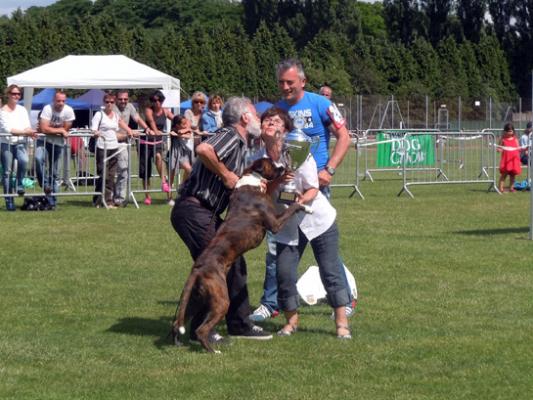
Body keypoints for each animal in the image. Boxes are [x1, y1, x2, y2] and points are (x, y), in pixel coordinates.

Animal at [175, 158, 308, 352]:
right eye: (272, 163)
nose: (283, 166)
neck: (251, 180)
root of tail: (197, 269)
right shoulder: (275, 223)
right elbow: (292, 208)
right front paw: (305, 206)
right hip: (221, 301)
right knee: (201, 329)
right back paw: (213, 350)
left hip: (195, 301)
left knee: (178, 322)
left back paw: (177, 343)